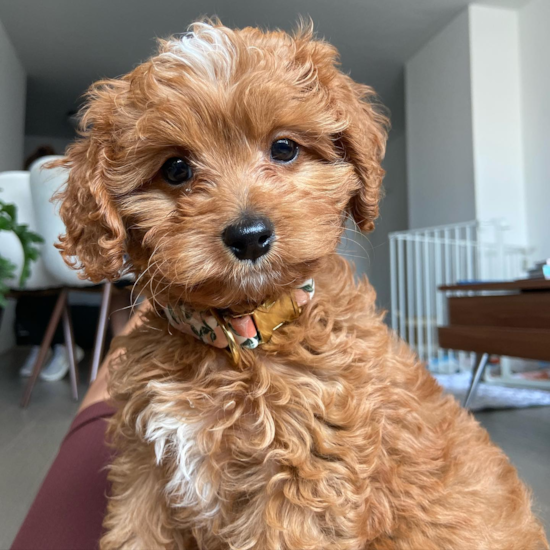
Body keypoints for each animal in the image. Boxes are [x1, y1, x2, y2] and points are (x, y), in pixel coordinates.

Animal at [51, 19, 548, 550]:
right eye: (176, 169)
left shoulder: (308, 479)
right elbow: (136, 532)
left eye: (284, 148)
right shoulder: (146, 469)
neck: (242, 334)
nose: (249, 236)